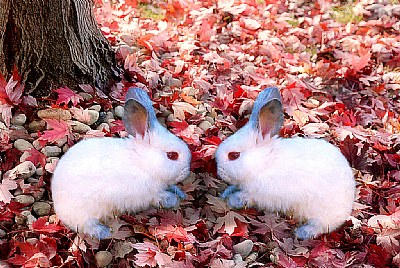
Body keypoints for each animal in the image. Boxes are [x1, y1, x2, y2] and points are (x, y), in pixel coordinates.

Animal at [51, 87, 191, 239]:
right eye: (172, 155)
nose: (187, 171)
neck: (144, 163)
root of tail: (56, 202)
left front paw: (181, 194)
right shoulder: (146, 194)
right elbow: (158, 197)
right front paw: (173, 200)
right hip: (85, 213)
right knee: (86, 226)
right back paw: (104, 232)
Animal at [217, 87, 354, 240]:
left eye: (234, 155)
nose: (218, 170)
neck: (263, 163)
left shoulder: (262, 194)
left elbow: (248, 197)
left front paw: (233, 200)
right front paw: (225, 193)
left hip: (322, 214)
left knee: (320, 226)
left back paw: (303, 232)